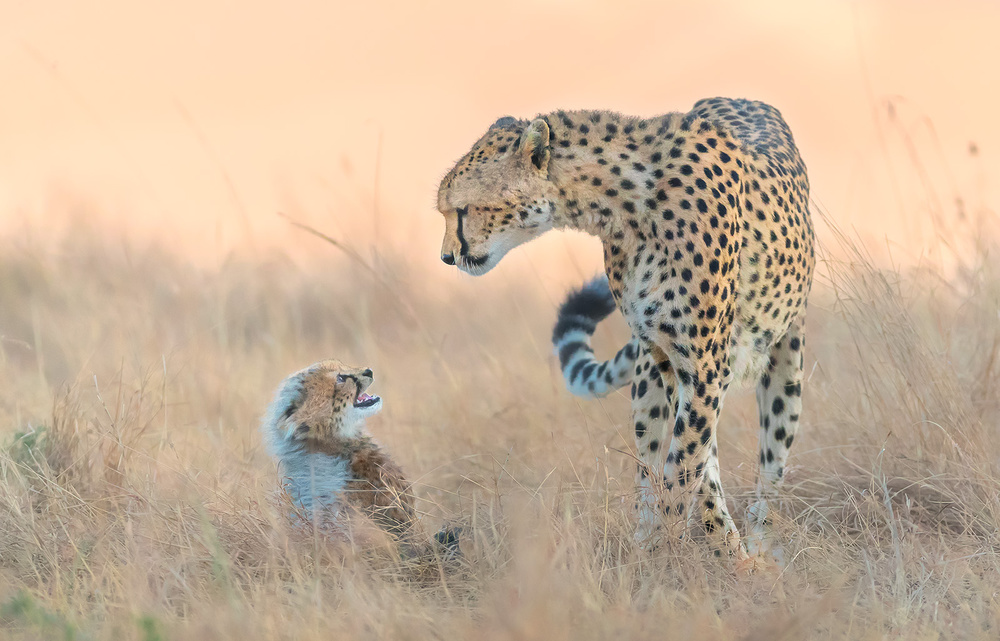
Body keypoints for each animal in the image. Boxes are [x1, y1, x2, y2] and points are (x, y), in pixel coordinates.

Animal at [437, 97, 815, 564]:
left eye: (463, 209)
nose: (446, 257)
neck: (621, 205)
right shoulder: (669, 360)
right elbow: (693, 469)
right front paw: (690, 551)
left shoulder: (705, 367)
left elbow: (685, 469)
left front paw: (702, 558)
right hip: (649, 379)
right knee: (651, 458)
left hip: (786, 364)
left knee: (771, 465)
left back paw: (760, 543)